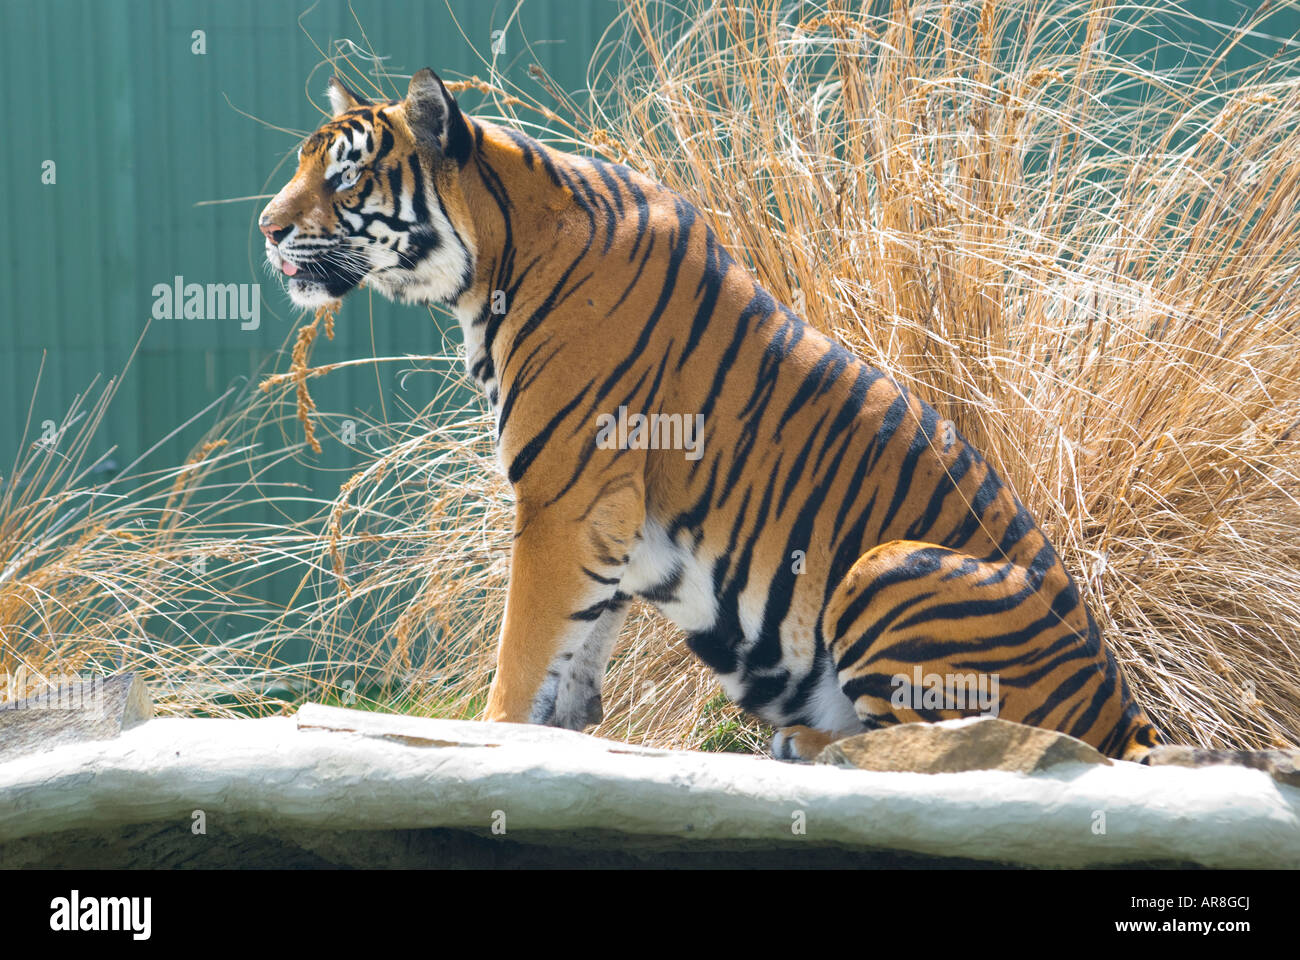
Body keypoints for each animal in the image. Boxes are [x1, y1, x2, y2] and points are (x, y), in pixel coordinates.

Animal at [263, 67, 1170, 759]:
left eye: (344, 177)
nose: (266, 229)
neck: (489, 264)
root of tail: (1129, 718)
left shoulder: (562, 497)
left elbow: (524, 648)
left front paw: (494, 737)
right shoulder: (607, 520)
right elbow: (572, 654)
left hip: (886, 566)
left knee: (941, 748)